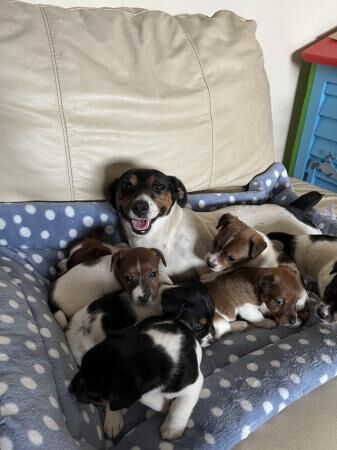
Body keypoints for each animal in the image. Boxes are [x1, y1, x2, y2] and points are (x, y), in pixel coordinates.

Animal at [69, 316, 203, 440]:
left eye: (91, 392)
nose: (70, 388)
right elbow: (146, 399)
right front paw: (165, 407)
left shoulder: (193, 386)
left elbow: (181, 408)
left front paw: (172, 429)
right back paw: (112, 419)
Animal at [108, 169, 320, 282]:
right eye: (126, 186)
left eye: (159, 187)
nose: (140, 207)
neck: (163, 237)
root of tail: (294, 208)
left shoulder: (206, 270)